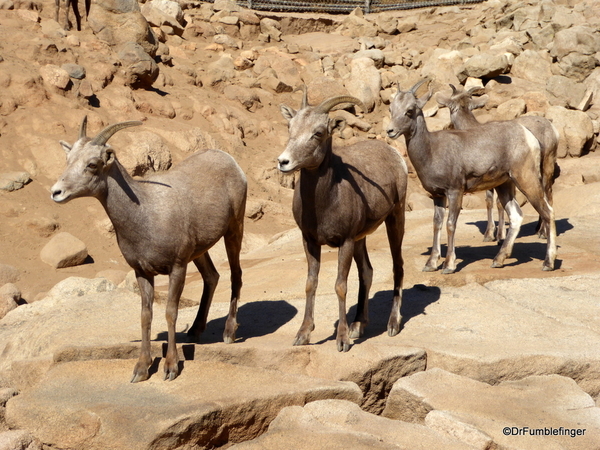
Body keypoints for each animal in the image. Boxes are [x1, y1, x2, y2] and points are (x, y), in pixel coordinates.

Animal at [51, 117, 246, 384]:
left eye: (92, 164)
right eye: (68, 159)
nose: (56, 192)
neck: (145, 214)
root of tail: (231, 161)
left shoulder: (177, 268)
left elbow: (171, 313)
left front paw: (171, 368)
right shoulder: (142, 272)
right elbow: (146, 316)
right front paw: (141, 370)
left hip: (234, 230)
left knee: (236, 274)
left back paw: (229, 333)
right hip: (199, 251)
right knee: (212, 276)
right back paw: (195, 331)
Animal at [278, 89, 410, 352]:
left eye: (318, 133)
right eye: (290, 126)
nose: (283, 162)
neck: (324, 202)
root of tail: (395, 156)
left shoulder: (345, 241)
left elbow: (340, 285)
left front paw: (342, 341)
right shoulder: (310, 241)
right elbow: (311, 283)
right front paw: (303, 335)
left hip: (395, 219)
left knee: (397, 266)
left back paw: (392, 325)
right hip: (361, 238)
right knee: (367, 271)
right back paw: (358, 325)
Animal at [436, 85, 556, 241]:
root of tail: (551, 127)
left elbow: (497, 202)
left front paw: (498, 235)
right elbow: (492, 202)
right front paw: (493, 234)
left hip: (547, 165)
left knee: (548, 195)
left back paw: (543, 233)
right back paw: (538, 229)